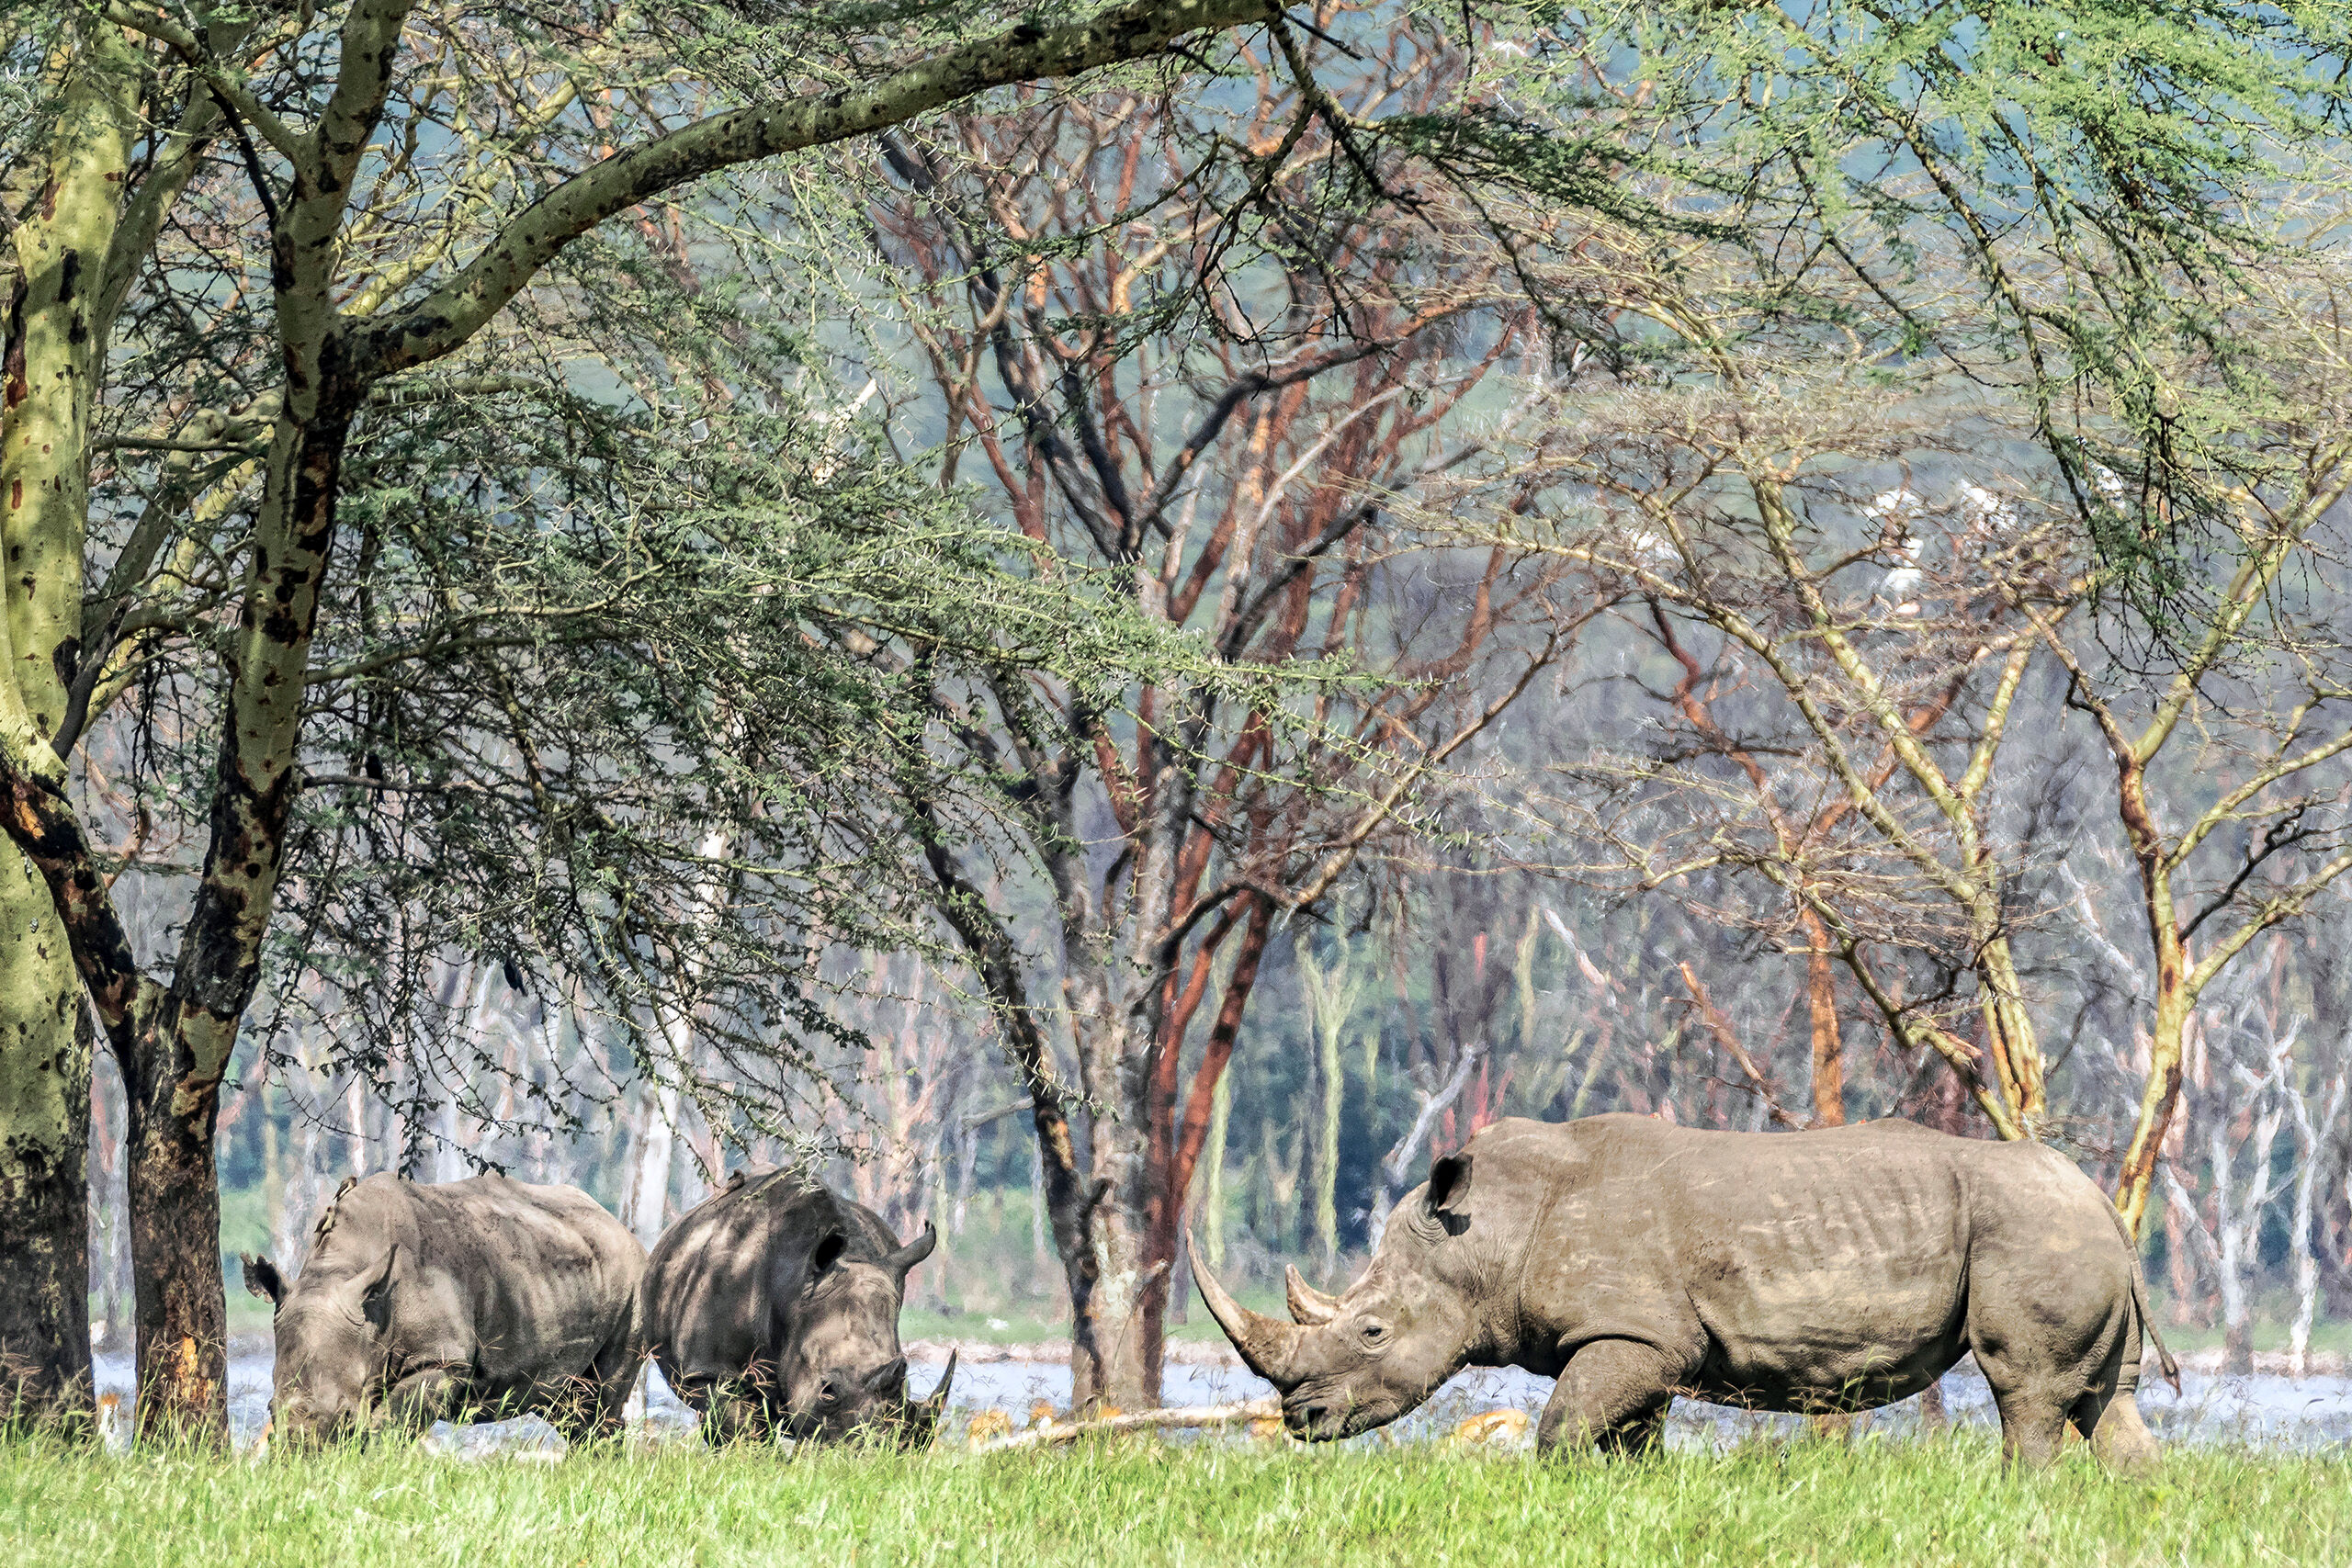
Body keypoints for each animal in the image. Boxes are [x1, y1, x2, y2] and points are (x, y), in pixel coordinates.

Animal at [241, 1172, 647, 1447]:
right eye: (270, 1411)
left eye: (345, 1416)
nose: (302, 1459)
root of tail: (617, 1224)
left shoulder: (441, 1360)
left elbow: (389, 1426)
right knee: (567, 1406)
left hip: (633, 1279)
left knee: (600, 1402)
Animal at [640, 1167, 954, 1445]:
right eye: (828, 1392)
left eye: (905, 1388)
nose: (875, 1451)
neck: (794, 1286)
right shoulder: (710, 1369)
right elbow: (741, 1429)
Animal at [1194, 1115, 2177, 1469]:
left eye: (1370, 1331)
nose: (1298, 1420)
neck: (1490, 1234)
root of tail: (2102, 1199)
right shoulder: (1647, 1341)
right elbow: (1630, 1435)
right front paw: (1633, 1495)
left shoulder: (1632, 1334)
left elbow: (1561, 1428)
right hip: (2069, 1232)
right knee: (2107, 1401)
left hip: (2030, 1230)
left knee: (2028, 1392)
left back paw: (2021, 1495)